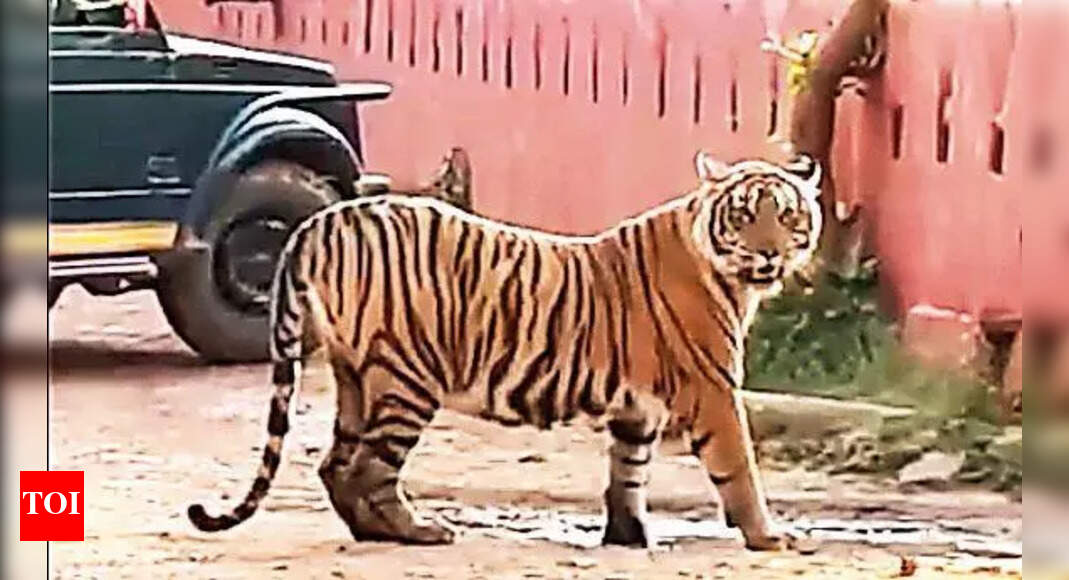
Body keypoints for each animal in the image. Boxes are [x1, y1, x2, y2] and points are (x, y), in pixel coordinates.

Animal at [188, 151, 824, 551]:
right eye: (745, 215)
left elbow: (628, 472)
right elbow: (739, 468)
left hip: (355, 375)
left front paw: (628, 537)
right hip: (408, 377)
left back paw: (373, 531)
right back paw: (417, 532)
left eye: (787, 215)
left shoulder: (637, 408)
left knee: (335, 465)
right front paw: (769, 537)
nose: (769, 253)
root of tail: (325, 217)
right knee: (371, 468)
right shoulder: (714, 388)